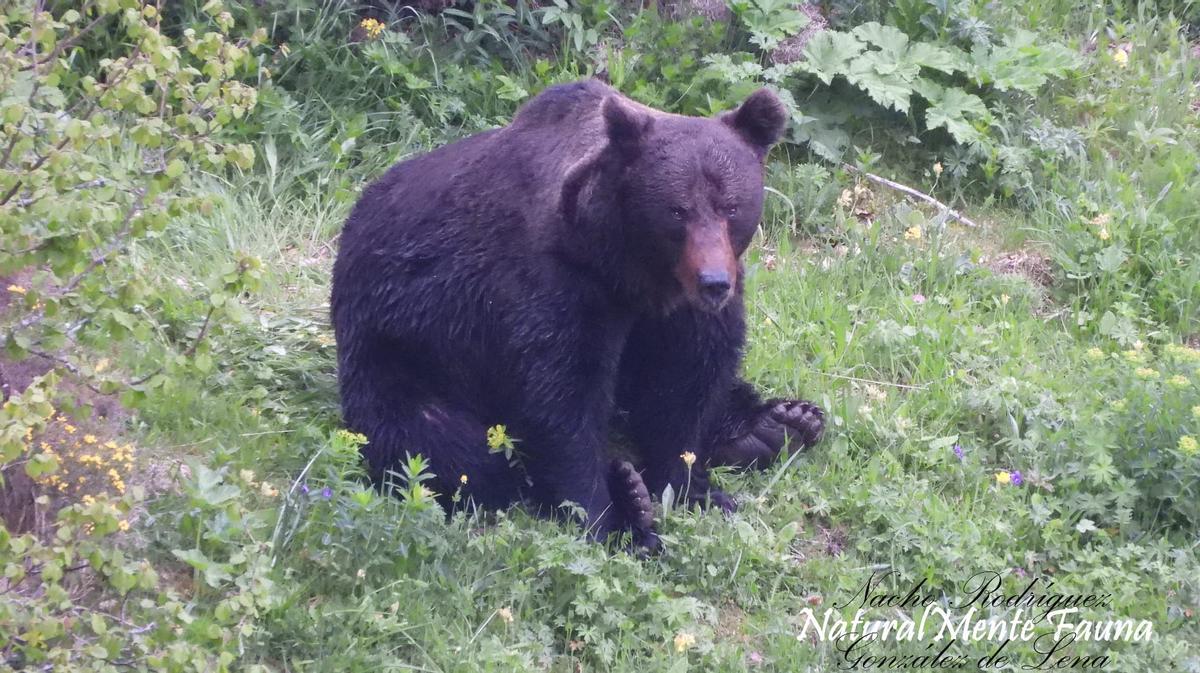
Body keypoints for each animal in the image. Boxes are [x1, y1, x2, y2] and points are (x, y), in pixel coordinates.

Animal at [331, 79, 824, 549]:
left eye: (731, 207)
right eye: (677, 211)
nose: (714, 282)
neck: (631, 272)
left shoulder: (680, 313)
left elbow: (687, 383)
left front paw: (692, 487)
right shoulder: (556, 287)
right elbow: (562, 397)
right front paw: (611, 518)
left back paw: (780, 424)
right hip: (401, 351)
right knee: (439, 442)